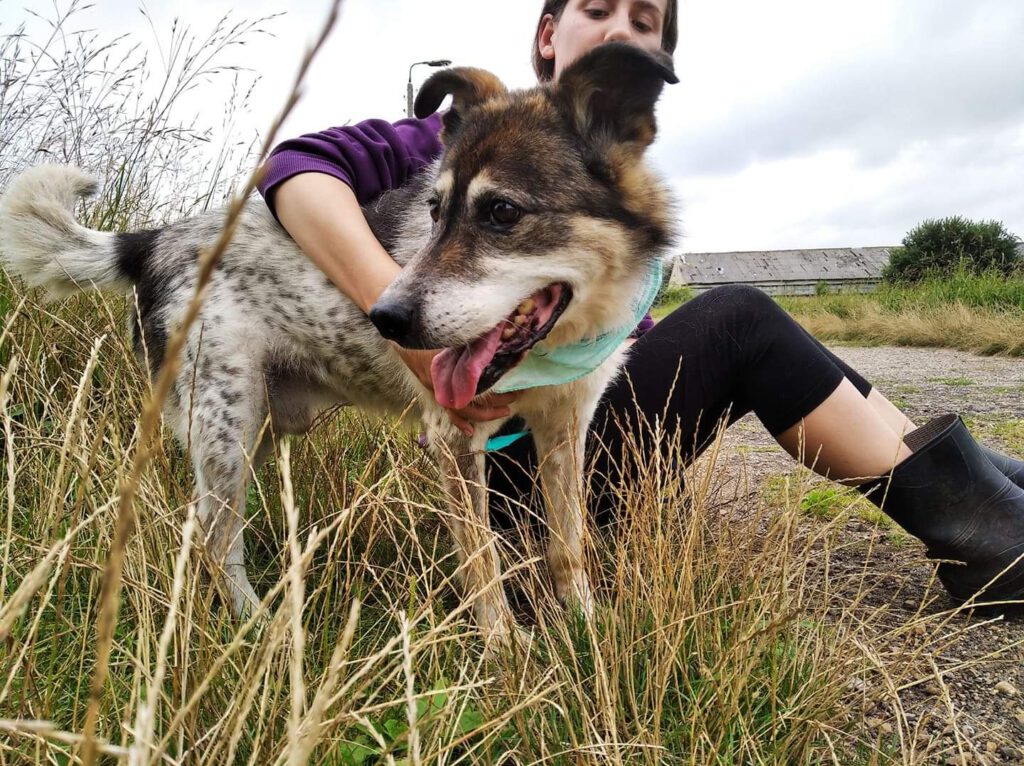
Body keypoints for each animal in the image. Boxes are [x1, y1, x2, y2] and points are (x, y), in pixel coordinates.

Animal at [2, 40, 679, 639]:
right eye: (433, 211)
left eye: (503, 212)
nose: (386, 317)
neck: (560, 341)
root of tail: (151, 239)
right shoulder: (454, 438)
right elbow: (483, 563)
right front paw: (506, 654)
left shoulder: (565, 428)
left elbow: (569, 544)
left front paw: (584, 624)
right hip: (226, 428)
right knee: (216, 541)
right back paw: (259, 628)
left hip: (253, 428)